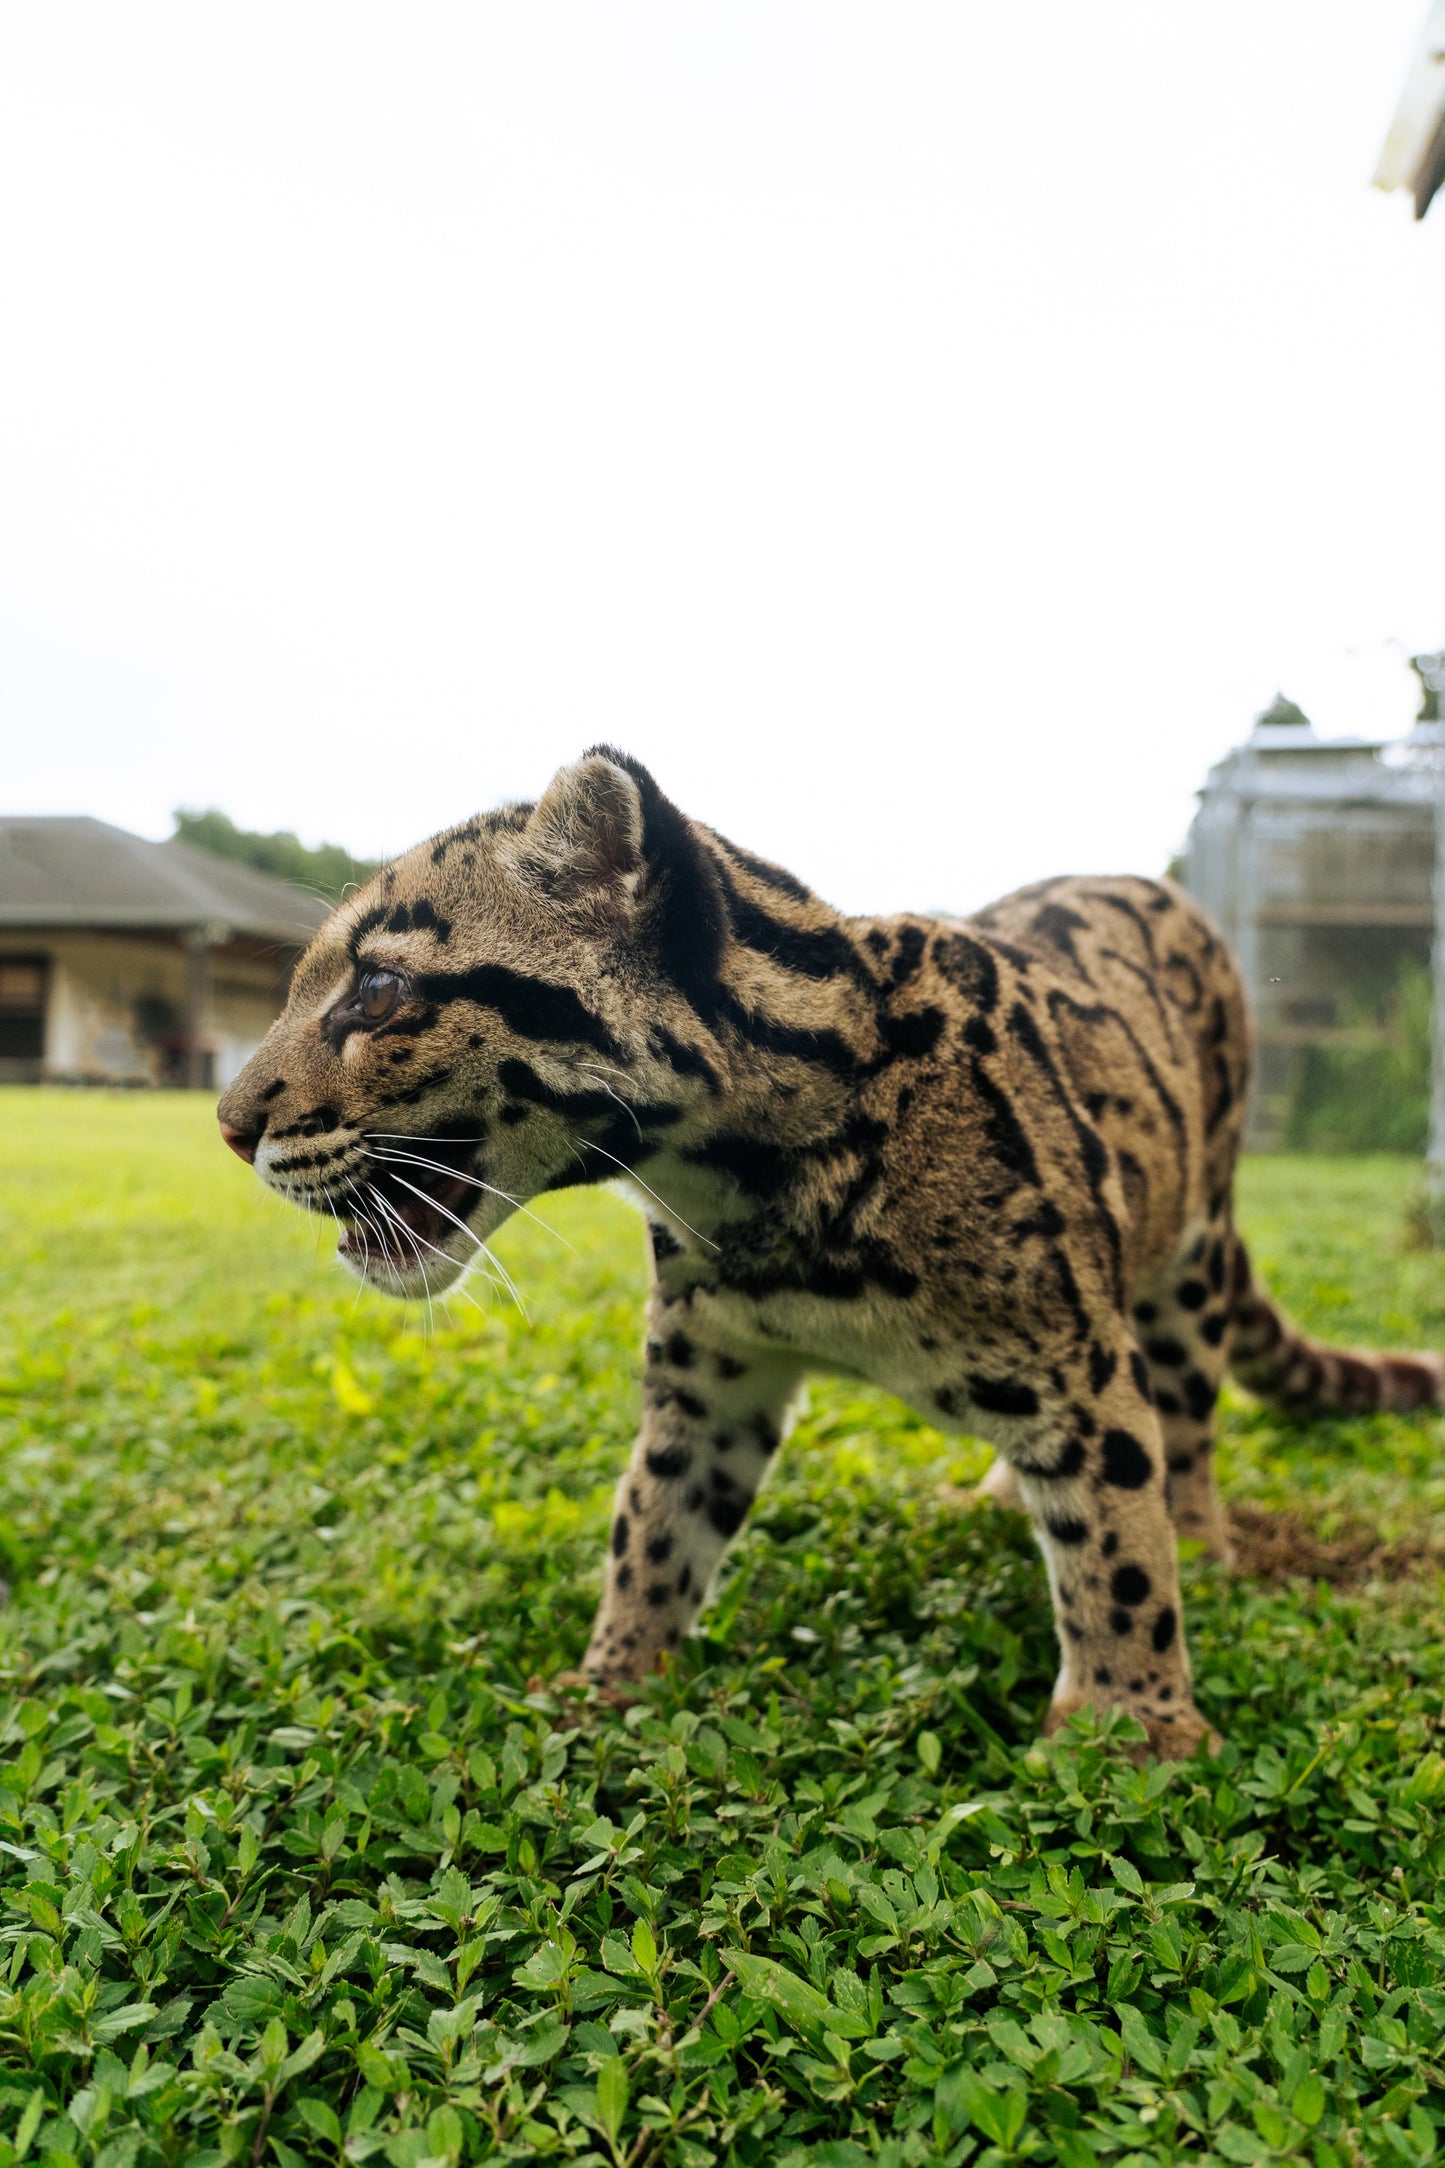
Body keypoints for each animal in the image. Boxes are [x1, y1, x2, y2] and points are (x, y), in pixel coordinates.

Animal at [217, 754, 1445, 1751]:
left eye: (378, 989)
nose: (229, 1125)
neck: (753, 1190)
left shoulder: (1083, 1364)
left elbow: (1118, 1545)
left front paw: (1131, 1732)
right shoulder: (705, 1376)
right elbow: (650, 1526)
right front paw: (608, 1683)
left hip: (1187, 1255)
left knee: (1181, 1422)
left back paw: (1199, 1533)